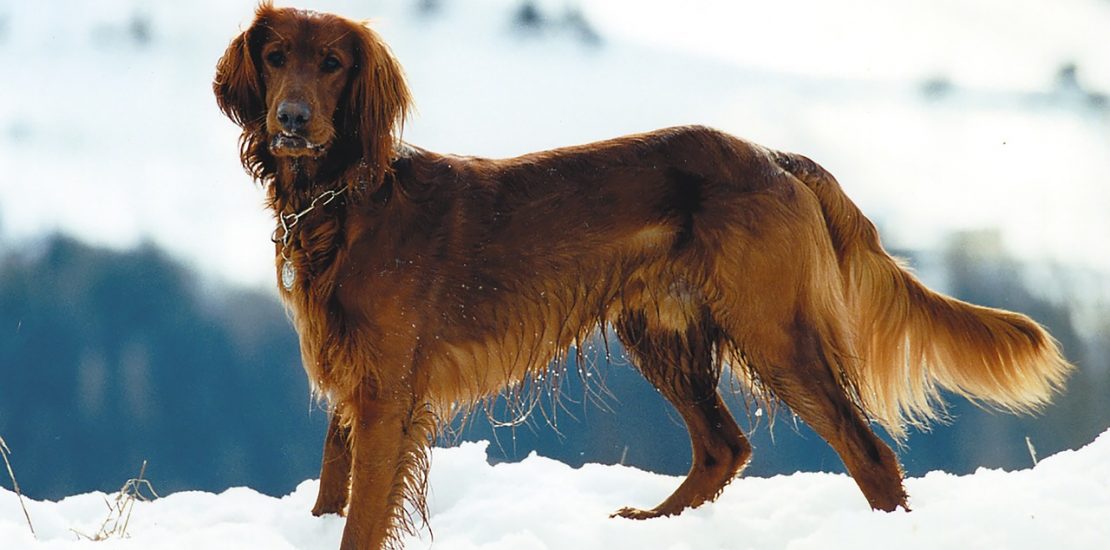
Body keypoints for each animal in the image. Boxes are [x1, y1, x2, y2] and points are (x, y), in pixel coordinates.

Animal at [212, 5, 1070, 550]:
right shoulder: (352, 374)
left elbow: (362, 514)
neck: (346, 198)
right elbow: (333, 486)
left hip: (774, 330)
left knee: (868, 454)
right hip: (660, 328)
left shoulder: (389, 386)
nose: (292, 121)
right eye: (276, 57)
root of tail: (776, 156)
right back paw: (651, 526)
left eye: (333, 64)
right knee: (725, 445)